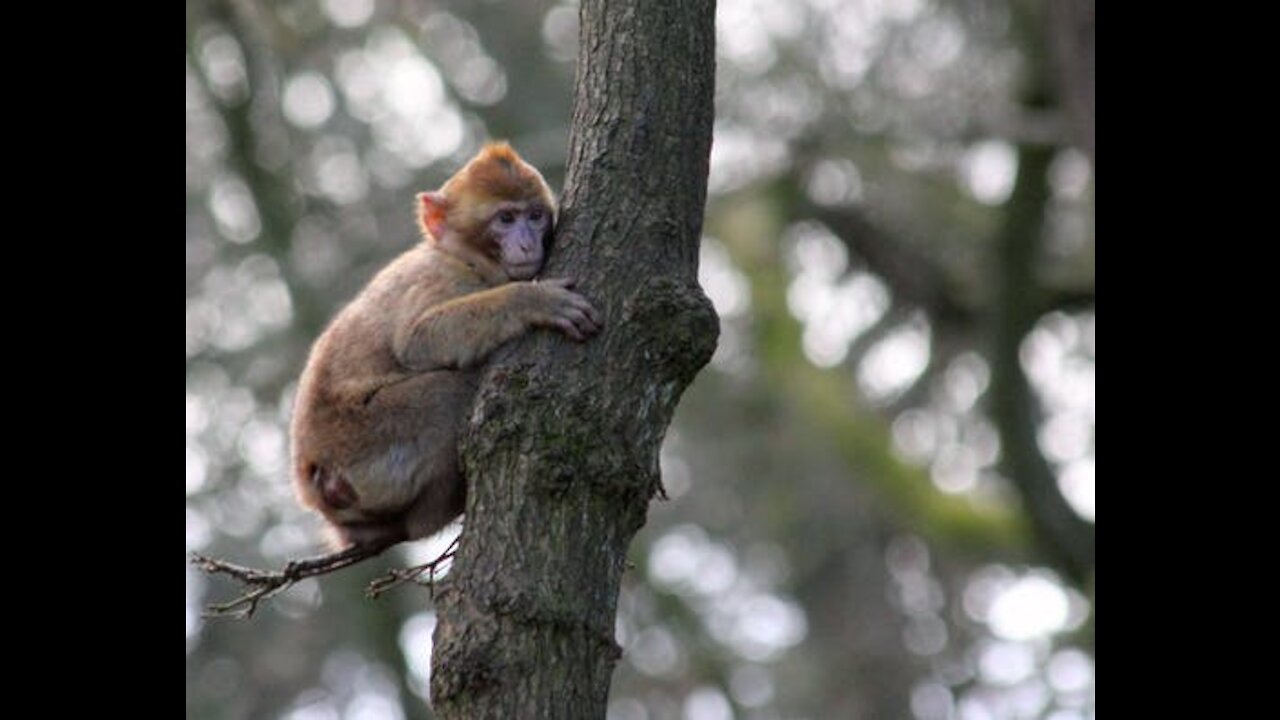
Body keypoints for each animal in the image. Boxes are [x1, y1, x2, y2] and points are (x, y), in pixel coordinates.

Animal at [293, 142, 601, 550]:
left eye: (535, 216)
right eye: (505, 218)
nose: (526, 243)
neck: (463, 258)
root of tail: (311, 479)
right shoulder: (441, 279)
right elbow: (417, 339)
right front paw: (532, 300)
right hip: (363, 439)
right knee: (449, 392)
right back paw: (437, 511)